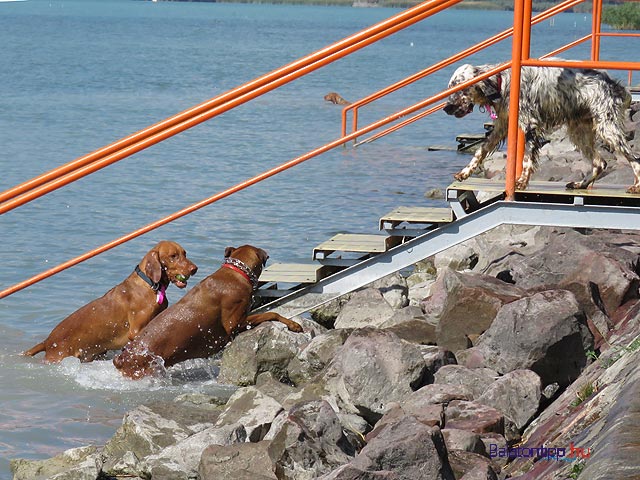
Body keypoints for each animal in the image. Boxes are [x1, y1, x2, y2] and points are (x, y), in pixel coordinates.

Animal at [23, 242, 198, 362]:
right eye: (173, 256)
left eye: (184, 253)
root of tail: (47, 341)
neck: (150, 284)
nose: (194, 269)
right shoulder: (136, 331)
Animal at [444, 61, 640, 193]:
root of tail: (614, 84)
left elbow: (527, 159)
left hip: (607, 128)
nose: (446, 108)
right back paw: (580, 184)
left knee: (634, 160)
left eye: (459, 88)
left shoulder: (529, 124)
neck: (502, 82)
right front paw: (465, 172)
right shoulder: (501, 126)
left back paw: (636, 186)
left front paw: (521, 182)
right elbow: (481, 150)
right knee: (600, 163)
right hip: (579, 131)